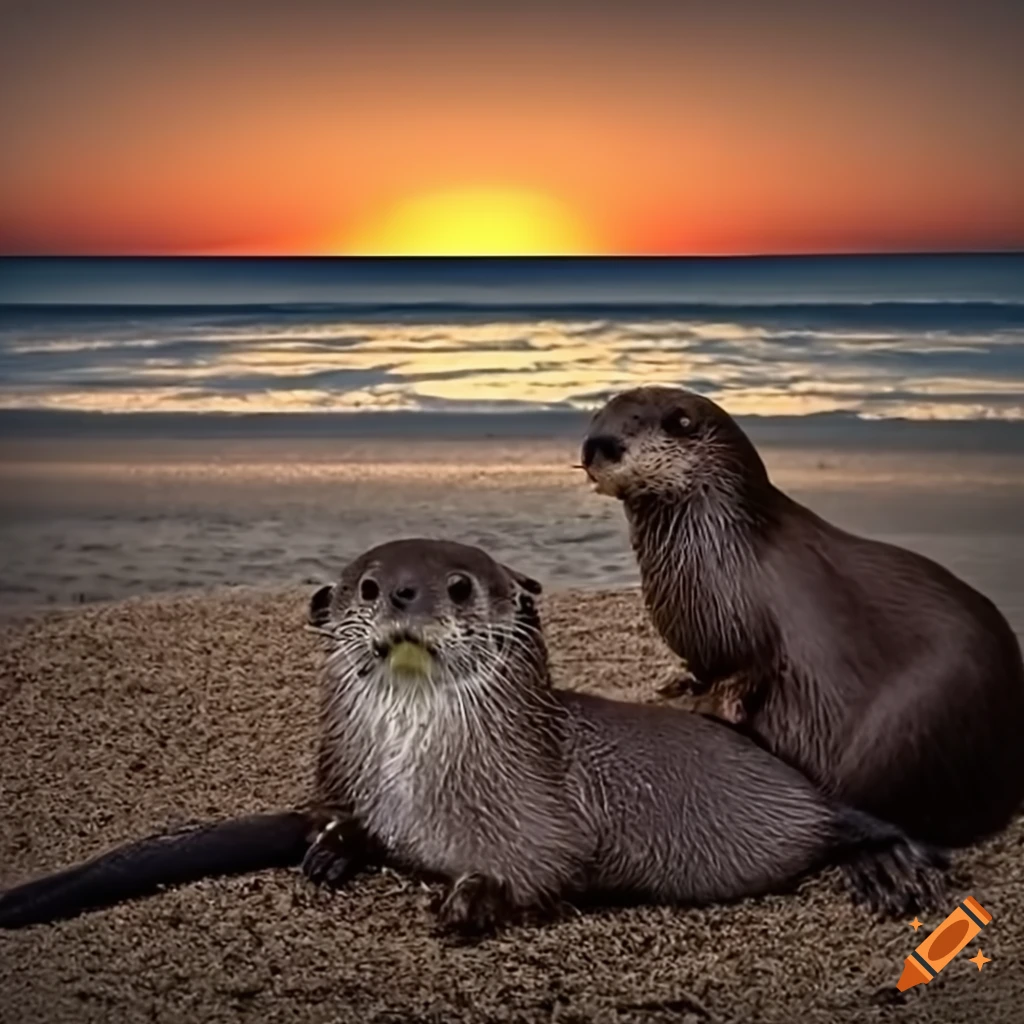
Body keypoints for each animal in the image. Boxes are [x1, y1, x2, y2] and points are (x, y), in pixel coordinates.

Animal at [0, 539, 945, 934]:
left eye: (459, 584)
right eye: (367, 584)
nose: (403, 594)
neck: (414, 788)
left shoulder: (544, 814)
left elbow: (550, 868)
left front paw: (473, 898)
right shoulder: (354, 787)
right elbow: (341, 824)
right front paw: (336, 847)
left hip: (796, 801)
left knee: (845, 817)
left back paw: (894, 866)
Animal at [581, 386, 1024, 848]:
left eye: (628, 429)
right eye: (596, 418)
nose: (593, 448)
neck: (725, 552)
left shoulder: (749, 636)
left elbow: (743, 678)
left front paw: (700, 706)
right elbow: (702, 670)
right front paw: (676, 682)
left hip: (907, 728)